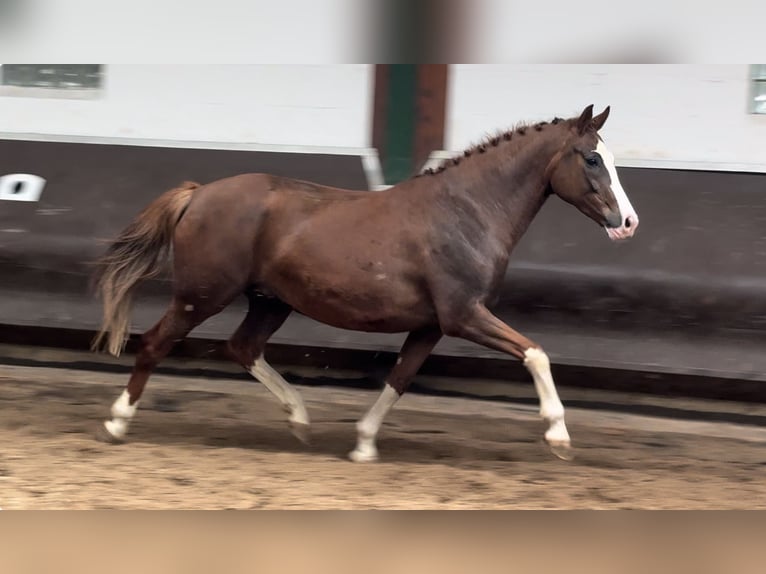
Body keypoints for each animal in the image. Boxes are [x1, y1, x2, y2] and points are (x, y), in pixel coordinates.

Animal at [91, 104, 640, 464]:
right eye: (591, 158)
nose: (628, 223)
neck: (467, 211)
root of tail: (198, 193)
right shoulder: (464, 315)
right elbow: (535, 353)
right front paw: (559, 436)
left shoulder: (432, 326)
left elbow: (399, 378)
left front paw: (362, 444)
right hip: (201, 296)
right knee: (154, 343)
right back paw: (116, 422)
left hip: (269, 302)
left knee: (242, 347)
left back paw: (300, 421)